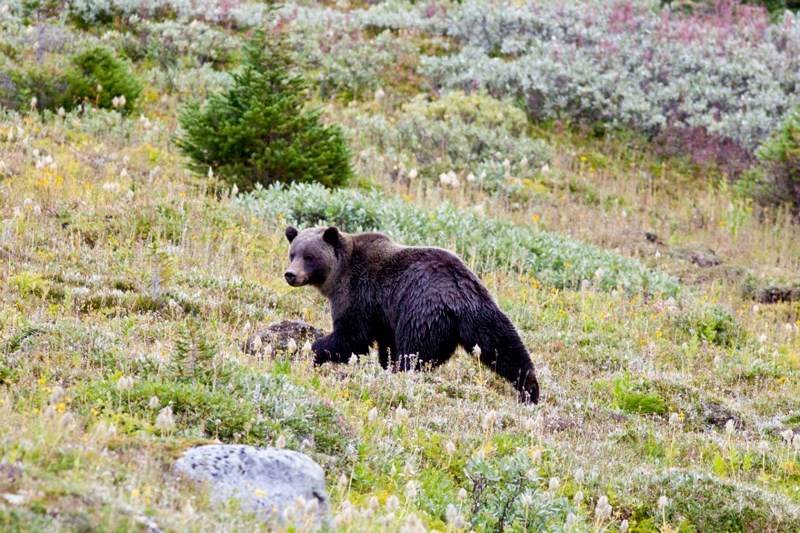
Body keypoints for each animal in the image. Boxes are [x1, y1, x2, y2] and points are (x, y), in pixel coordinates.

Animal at [284, 224, 540, 404]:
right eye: (292, 253)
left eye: (309, 256)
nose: (290, 274)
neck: (337, 274)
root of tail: (455, 291)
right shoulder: (384, 316)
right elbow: (385, 345)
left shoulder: (358, 295)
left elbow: (352, 337)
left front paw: (312, 352)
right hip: (479, 307)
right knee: (503, 345)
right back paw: (530, 389)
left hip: (421, 311)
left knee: (414, 352)